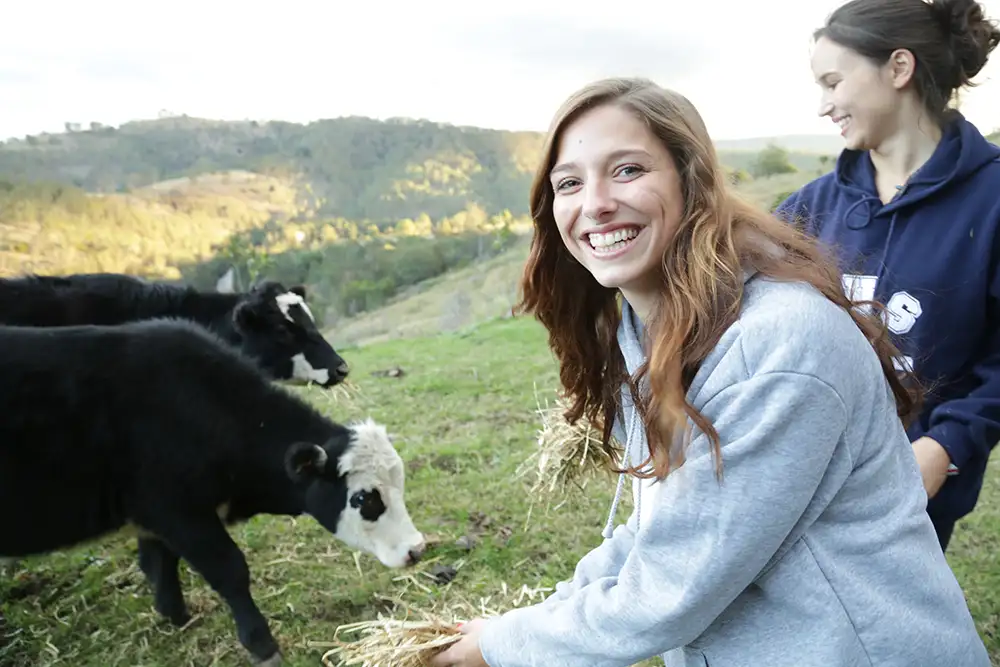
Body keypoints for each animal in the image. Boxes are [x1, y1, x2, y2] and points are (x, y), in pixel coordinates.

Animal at [0, 318, 424, 664]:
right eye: (363, 498)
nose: (416, 549)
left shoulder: (159, 518)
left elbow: (161, 563)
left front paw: (175, 616)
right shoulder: (177, 511)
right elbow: (229, 570)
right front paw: (262, 645)